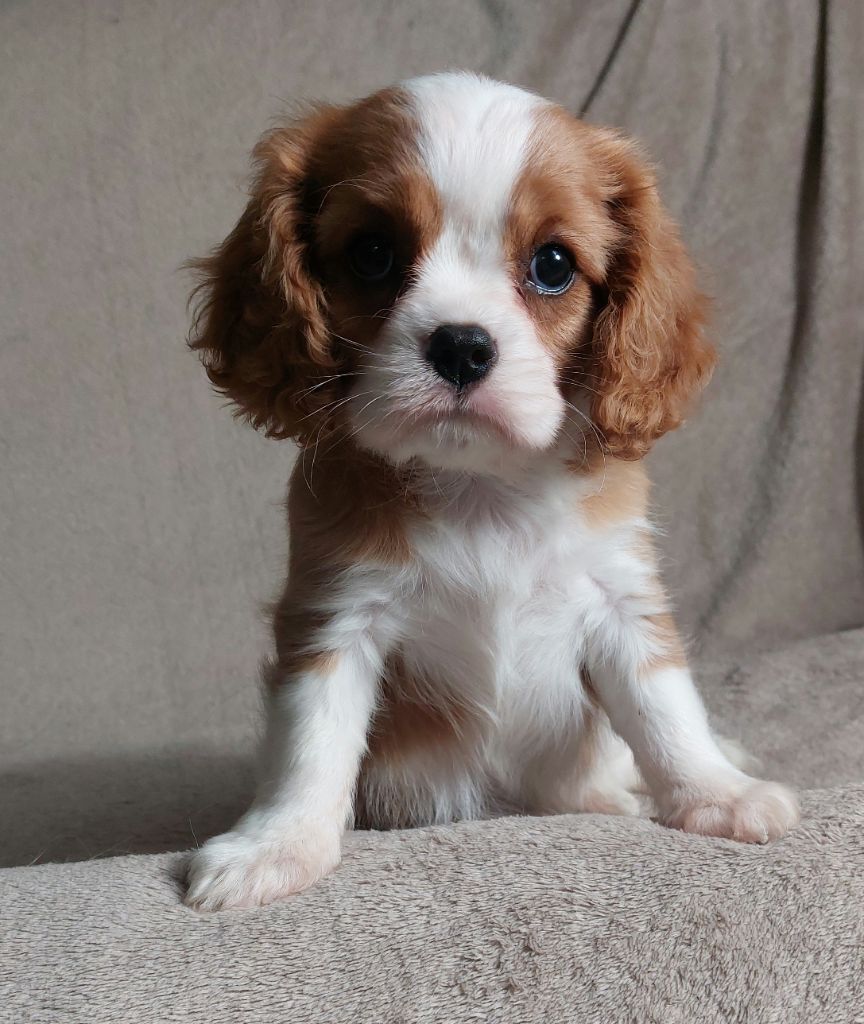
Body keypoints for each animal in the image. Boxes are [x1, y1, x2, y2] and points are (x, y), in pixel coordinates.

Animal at [185, 74, 798, 913]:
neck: (483, 486)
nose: (461, 345)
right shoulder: (336, 615)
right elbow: (311, 741)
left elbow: (664, 708)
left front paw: (717, 794)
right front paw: (276, 846)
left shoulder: (619, 600)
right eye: (372, 254)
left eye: (553, 264)